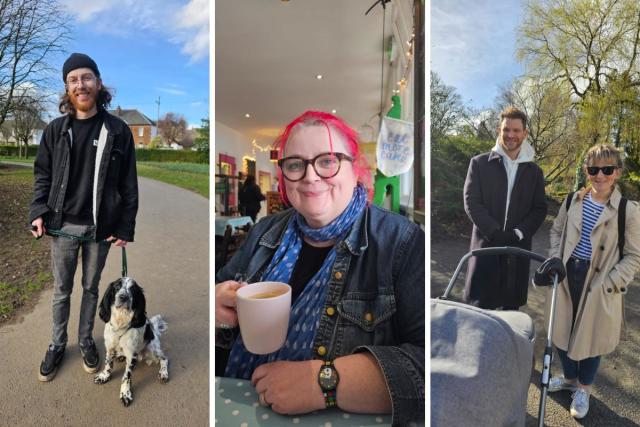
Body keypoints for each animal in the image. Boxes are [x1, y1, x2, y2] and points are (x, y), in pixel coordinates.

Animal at [94, 278, 170, 408]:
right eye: (117, 286)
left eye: (132, 289)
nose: (123, 297)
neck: (120, 322)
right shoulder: (109, 347)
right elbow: (108, 364)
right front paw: (104, 376)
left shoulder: (131, 354)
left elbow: (126, 376)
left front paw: (125, 394)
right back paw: (119, 356)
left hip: (152, 348)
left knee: (164, 359)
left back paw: (163, 373)